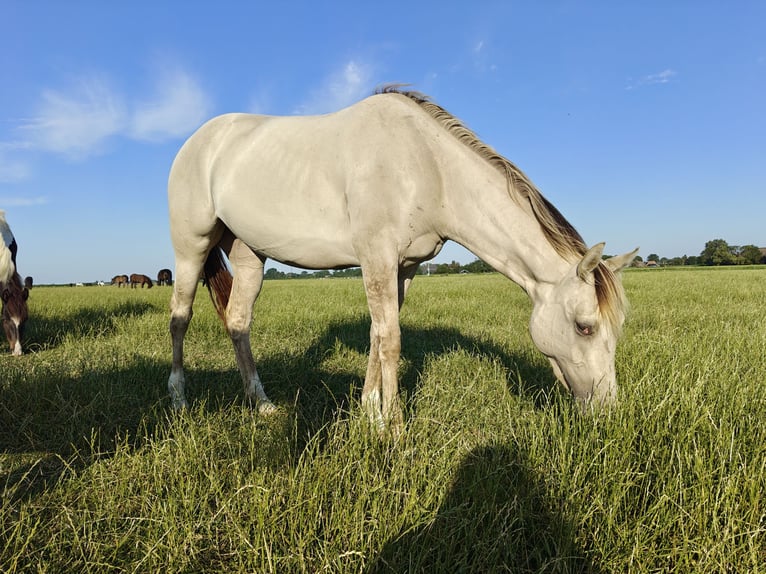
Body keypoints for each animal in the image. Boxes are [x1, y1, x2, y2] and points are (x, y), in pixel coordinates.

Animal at [166, 87, 637, 431]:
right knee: (180, 318)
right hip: (191, 247)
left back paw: (261, 404)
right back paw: (179, 401)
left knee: (238, 322)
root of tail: (200, 140)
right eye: (585, 327)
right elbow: (390, 339)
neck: (427, 166)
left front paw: (368, 413)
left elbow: (379, 336)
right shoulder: (376, 257)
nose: (608, 411)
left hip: (249, 256)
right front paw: (391, 427)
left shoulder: (403, 268)